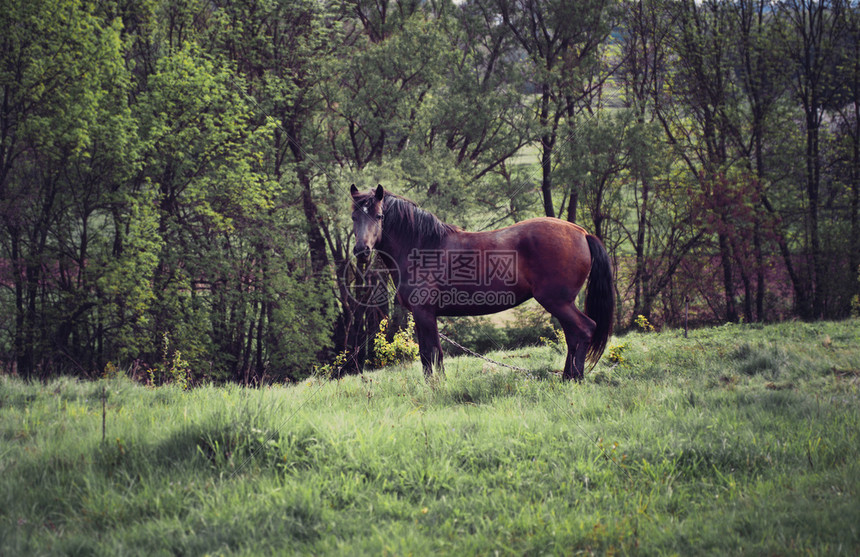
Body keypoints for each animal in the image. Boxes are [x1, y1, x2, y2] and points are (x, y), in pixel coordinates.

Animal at [348, 185, 612, 380]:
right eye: (353, 217)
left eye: (379, 216)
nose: (361, 250)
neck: (422, 247)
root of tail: (581, 233)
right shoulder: (420, 315)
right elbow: (425, 356)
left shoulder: (425, 313)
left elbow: (434, 354)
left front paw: (439, 388)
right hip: (561, 303)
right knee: (573, 335)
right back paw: (567, 378)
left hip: (557, 302)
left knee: (584, 329)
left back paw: (575, 378)